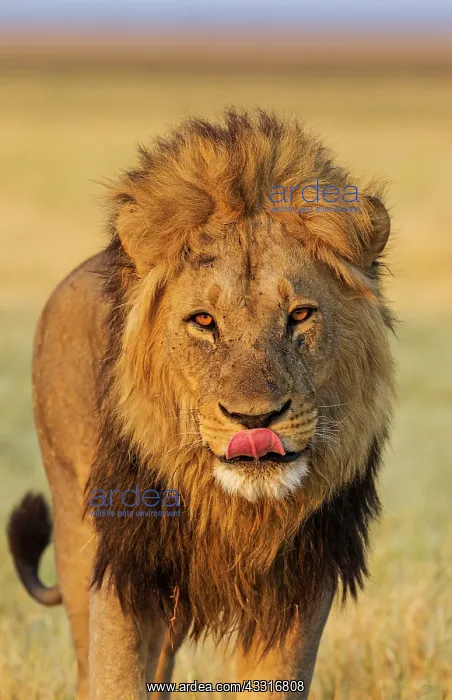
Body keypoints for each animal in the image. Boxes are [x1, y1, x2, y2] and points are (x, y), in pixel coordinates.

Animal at [7, 108, 394, 699]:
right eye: (204, 321)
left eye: (300, 315)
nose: (255, 420)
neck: (232, 513)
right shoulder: (122, 568)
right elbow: (115, 677)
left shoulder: (302, 585)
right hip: (75, 535)